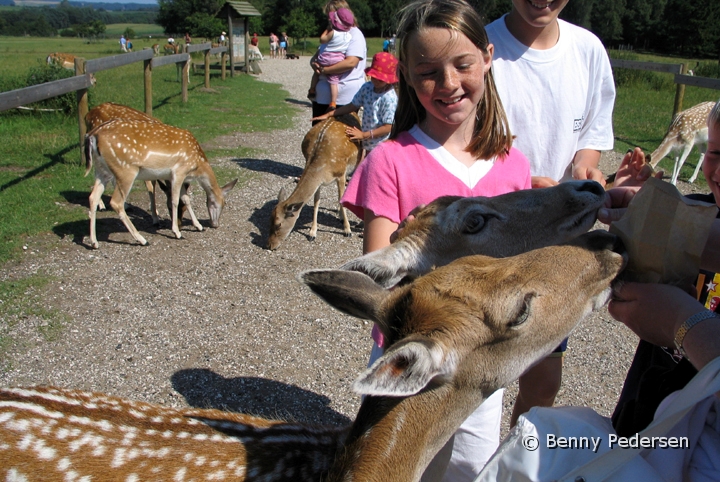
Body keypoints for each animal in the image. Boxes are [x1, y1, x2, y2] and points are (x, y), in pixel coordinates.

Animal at [84, 117, 236, 249]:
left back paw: (94, 242)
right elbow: (175, 200)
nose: (215, 224)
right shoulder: (179, 172)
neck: (197, 165)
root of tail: (93, 135)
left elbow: (186, 199)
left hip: (101, 170)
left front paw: (199, 226)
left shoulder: (179, 176)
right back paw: (142, 240)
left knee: (93, 197)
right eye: (222, 203)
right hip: (125, 170)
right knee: (116, 202)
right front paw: (177, 232)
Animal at [268, 112, 362, 249]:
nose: (269, 245)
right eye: (269, 219)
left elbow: (341, 198)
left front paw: (347, 230)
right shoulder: (320, 182)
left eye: (278, 224)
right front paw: (312, 233)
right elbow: (316, 202)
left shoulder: (341, 174)